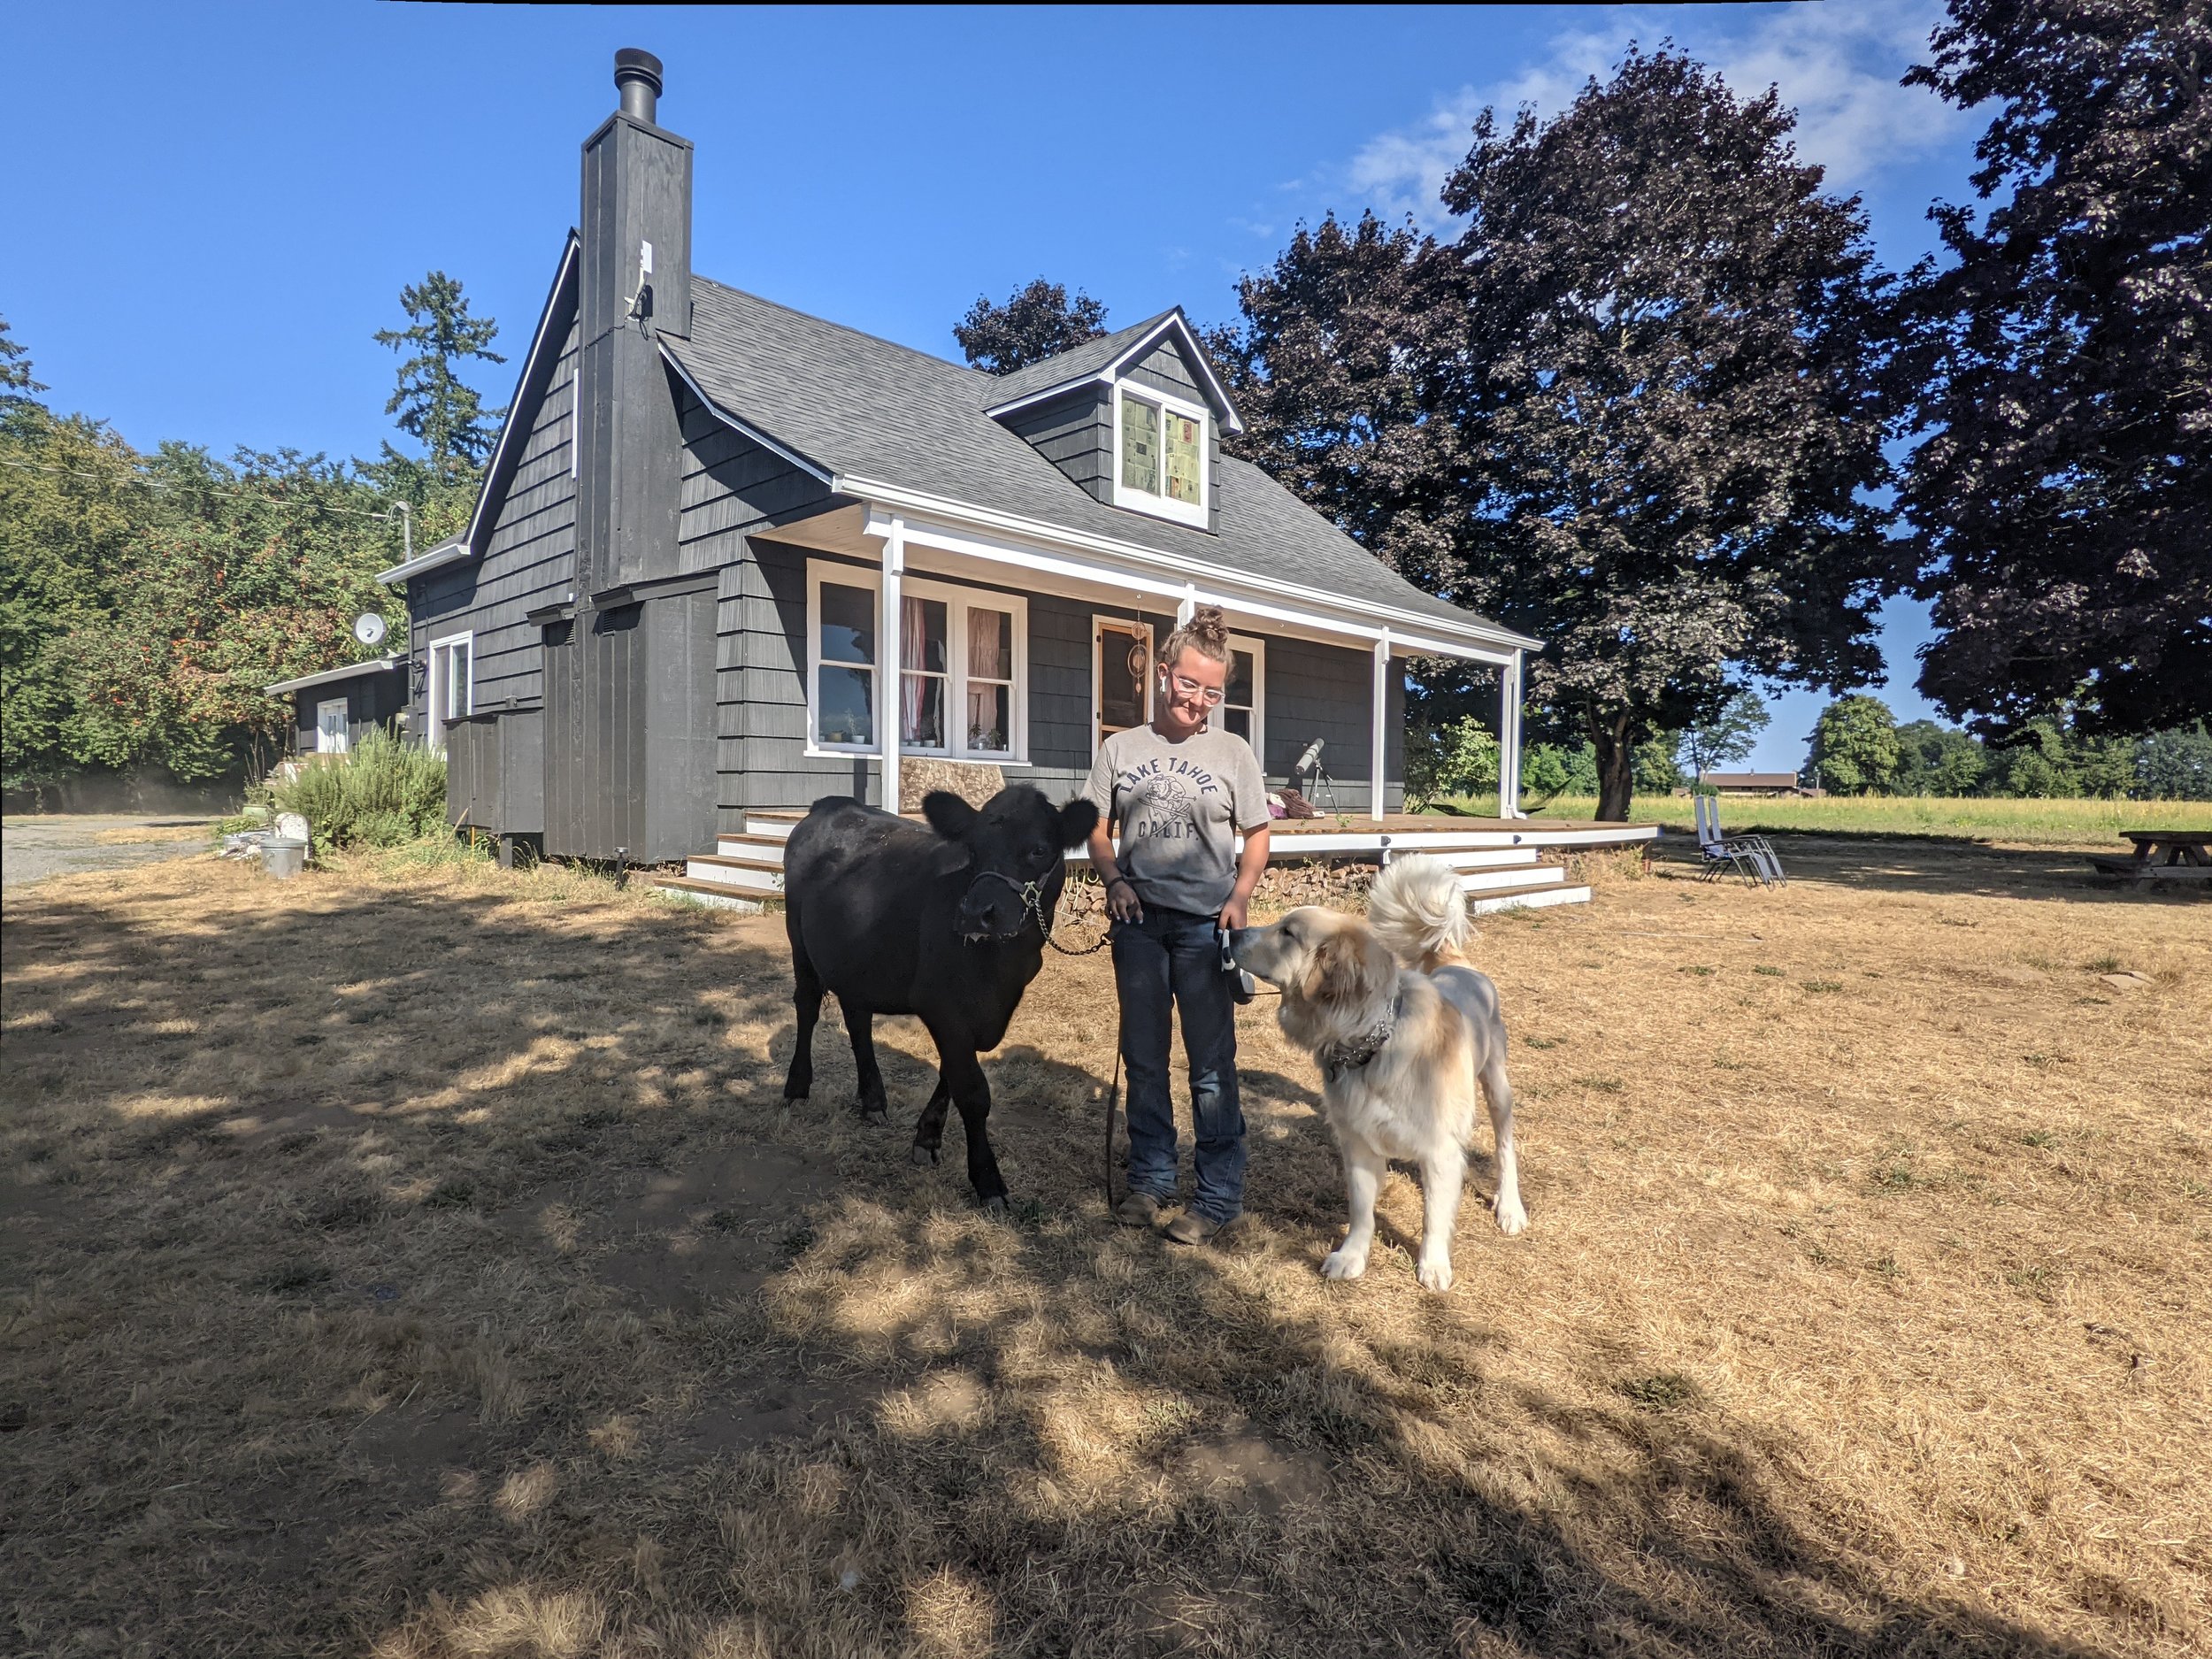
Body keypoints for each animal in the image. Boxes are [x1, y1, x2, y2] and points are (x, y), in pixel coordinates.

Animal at [1230, 858, 1522, 1301]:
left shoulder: (1440, 1149)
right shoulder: (1358, 1143)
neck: (1373, 1043)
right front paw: (1351, 1257)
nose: (1229, 930)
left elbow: (1434, 1216)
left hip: (1496, 1086)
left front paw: (1433, 1265)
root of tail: (1454, 963)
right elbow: (1362, 1211)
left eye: (1288, 933)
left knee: (1506, 1150)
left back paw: (1510, 1208)